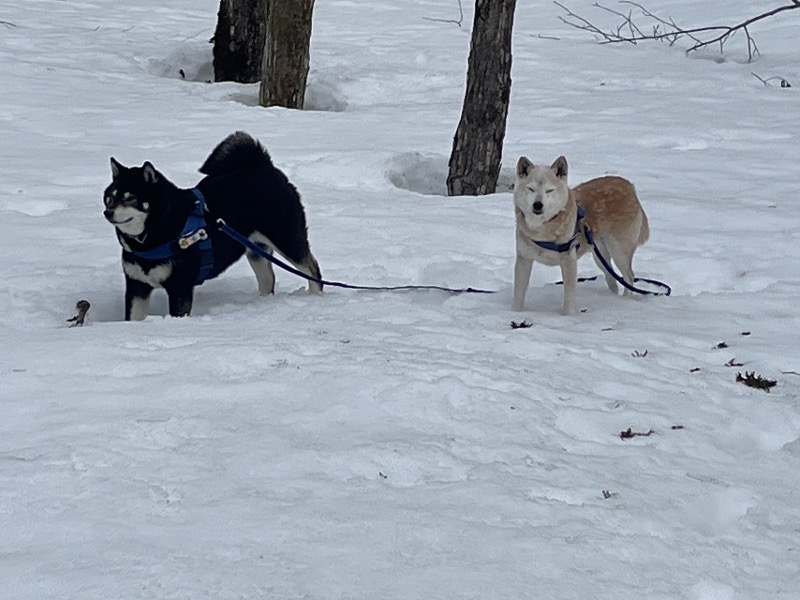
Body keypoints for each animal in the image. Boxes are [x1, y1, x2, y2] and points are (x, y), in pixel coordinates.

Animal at [103, 129, 322, 322]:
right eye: (109, 198)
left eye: (130, 198)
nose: (108, 212)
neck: (149, 237)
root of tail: (263, 165)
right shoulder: (137, 286)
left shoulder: (180, 287)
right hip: (256, 250)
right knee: (268, 278)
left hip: (286, 238)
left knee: (312, 269)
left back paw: (315, 298)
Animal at [512, 156, 648, 314]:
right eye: (531, 189)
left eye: (549, 190)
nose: (537, 205)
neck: (542, 229)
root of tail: (629, 186)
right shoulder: (524, 259)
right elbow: (519, 293)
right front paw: (515, 312)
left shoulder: (569, 261)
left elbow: (569, 298)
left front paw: (568, 316)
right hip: (600, 255)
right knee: (612, 278)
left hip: (619, 251)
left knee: (628, 276)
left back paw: (626, 300)